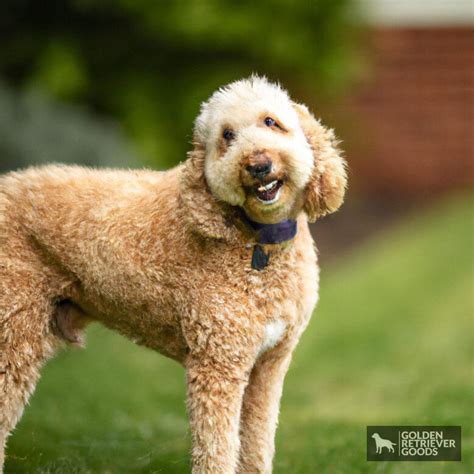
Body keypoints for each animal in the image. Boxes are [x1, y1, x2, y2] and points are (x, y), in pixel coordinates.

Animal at [0, 76, 348, 472]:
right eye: (227, 135)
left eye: (271, 122)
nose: (258, 164)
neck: (258, 241)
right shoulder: (217, 364)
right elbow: (217, 448)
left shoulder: (269, 366)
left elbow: (257, 445)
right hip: (14, 328)